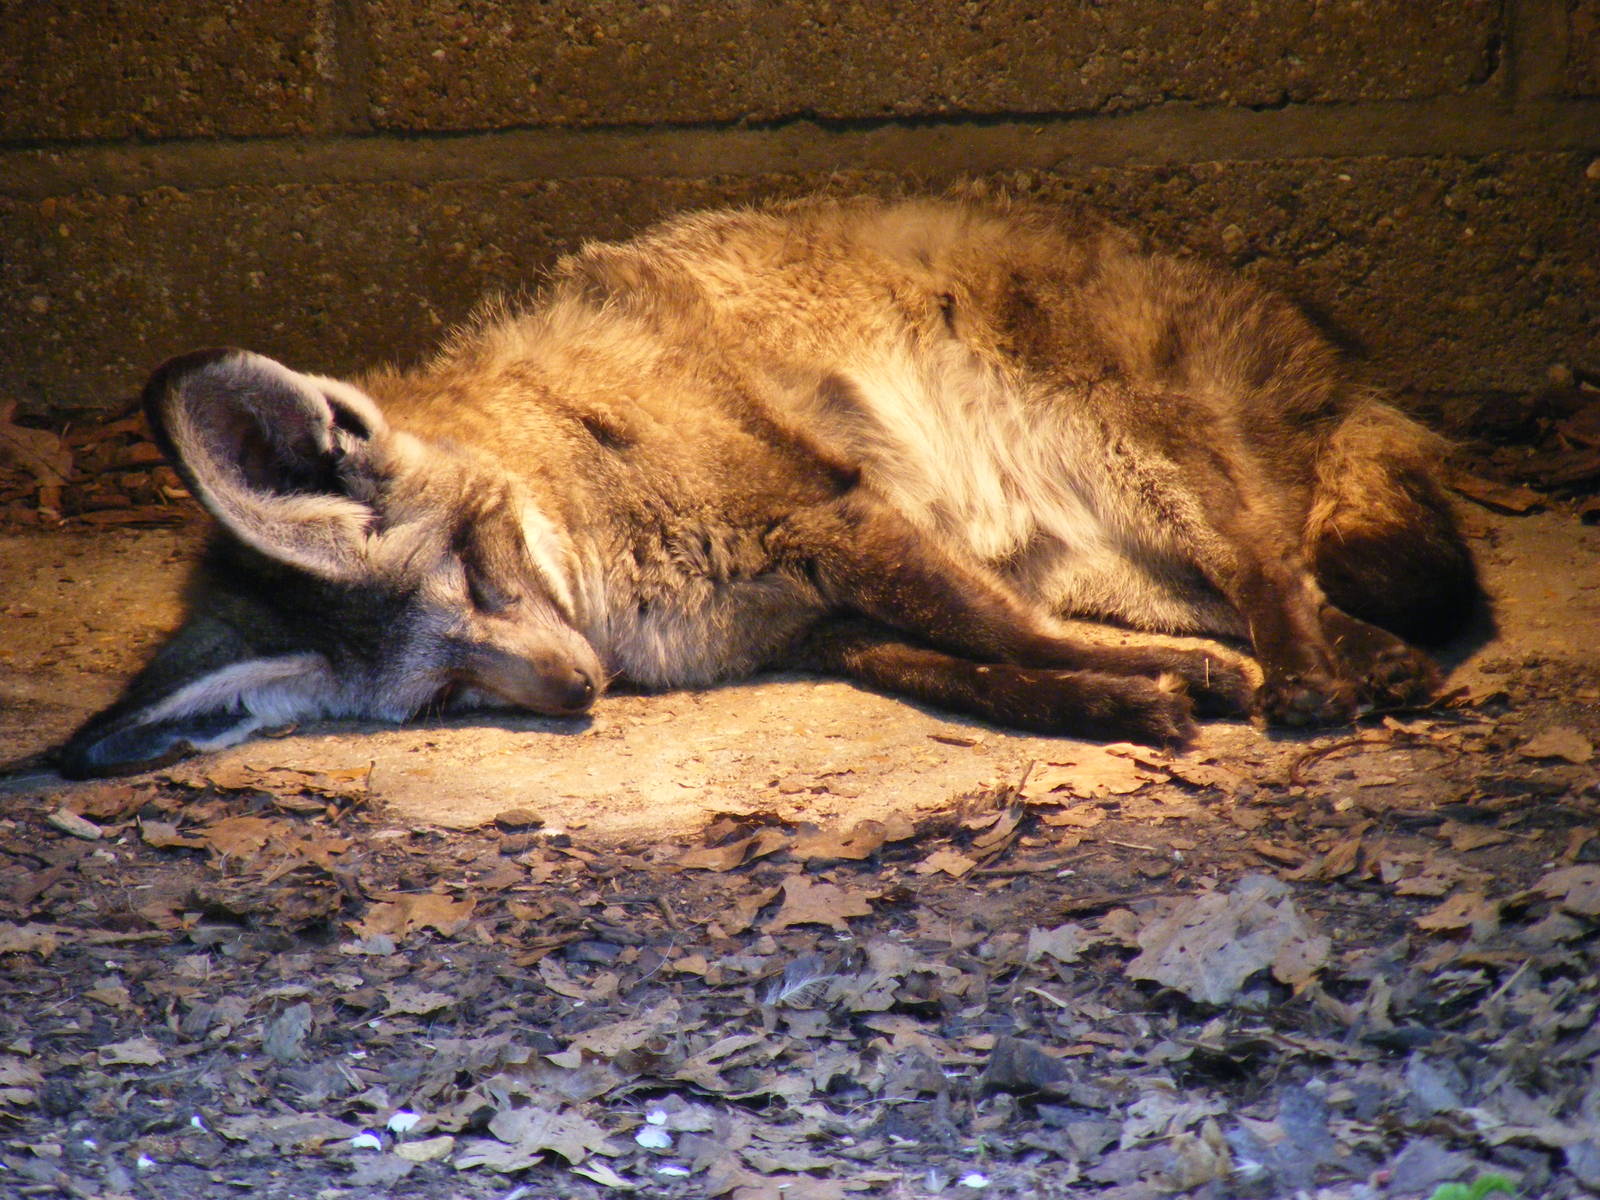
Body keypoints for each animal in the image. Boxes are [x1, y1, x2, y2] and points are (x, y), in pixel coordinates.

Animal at [56, 194, 1482, 779]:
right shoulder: (823, 622)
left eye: (480, 573)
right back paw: (1363, 662)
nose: (581, 690)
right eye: (447, 695)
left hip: (1142, 470)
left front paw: (1163, 693)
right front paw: (1118, 705)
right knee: (1280, 579)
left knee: (1270, 564)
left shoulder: (838, 520)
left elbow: (1000, 639)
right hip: (1107, 557)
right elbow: (980, 673)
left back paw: (1312, 678)